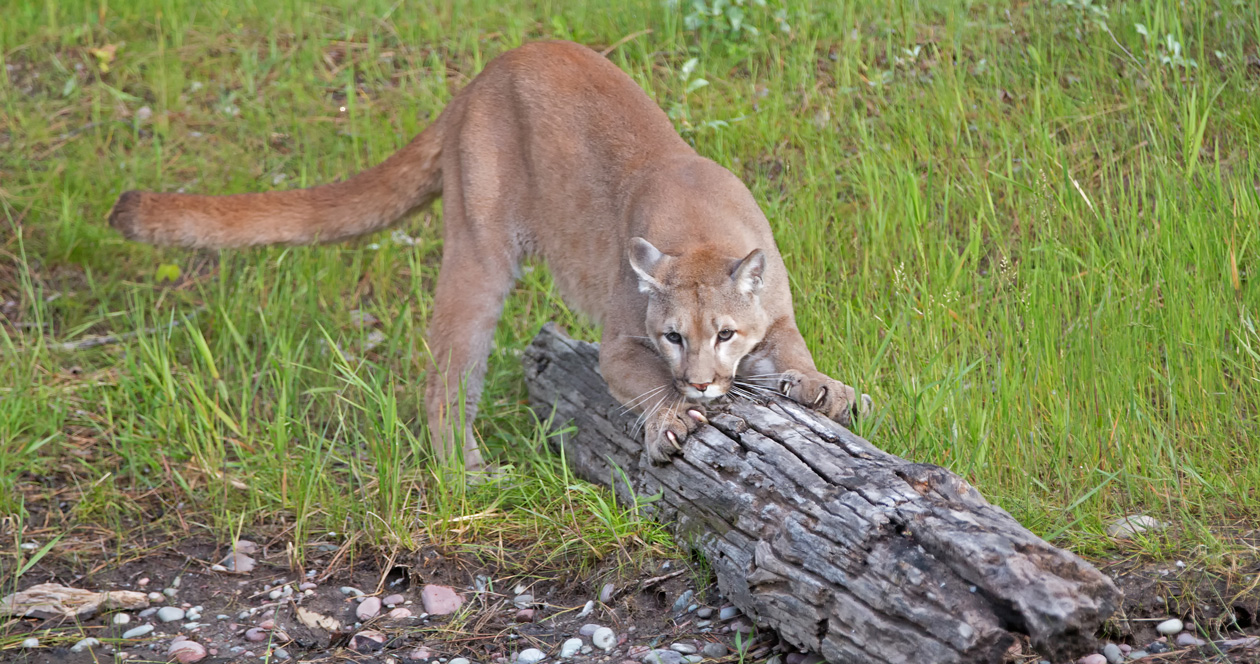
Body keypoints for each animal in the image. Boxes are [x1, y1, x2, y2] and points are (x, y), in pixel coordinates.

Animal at [108, 40, 866, 473]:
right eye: (673, 337)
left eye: (726, 334)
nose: (705, 383)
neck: (703, 228)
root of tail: (479, 80)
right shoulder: (620, 341)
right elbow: (645, 380)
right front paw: (673, 416)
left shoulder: (776, 315)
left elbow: (793, 349)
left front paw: (821, 386)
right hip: (479, 253)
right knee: (445, 378)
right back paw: (467, 474)